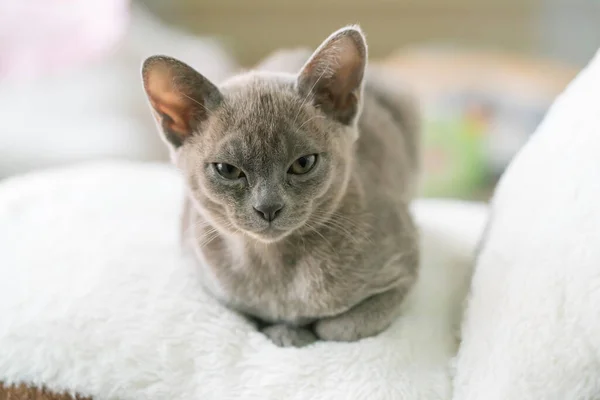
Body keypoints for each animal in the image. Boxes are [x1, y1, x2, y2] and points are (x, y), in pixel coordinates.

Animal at [142, 25, 420, 346]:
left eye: (303, 163)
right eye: (227, 170)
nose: (268, 207)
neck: (277, 266)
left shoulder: (403, 272)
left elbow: (337, 328)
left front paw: (301, 330)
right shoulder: (210, 283)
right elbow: (251, 315)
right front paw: (287, 331)